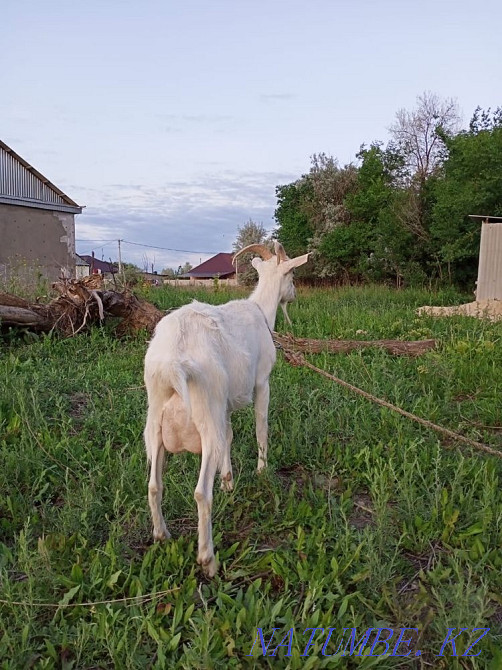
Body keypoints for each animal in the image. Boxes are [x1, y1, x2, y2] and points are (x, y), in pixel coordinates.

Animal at [143, 241, 309, 576]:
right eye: (292, 275)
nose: (295, 295)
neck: (261, 312)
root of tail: (173, 361)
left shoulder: (226, 405)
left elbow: (231, 436)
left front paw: (228, 479)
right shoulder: (261, 381)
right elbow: (261, 426)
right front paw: (261, 471)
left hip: (157, 423)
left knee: (154, 485)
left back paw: (162, 535)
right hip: (206, 414)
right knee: (199, 492)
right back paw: (208, 559)